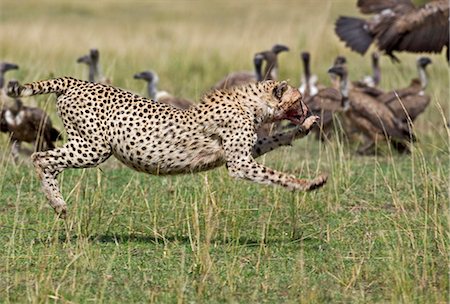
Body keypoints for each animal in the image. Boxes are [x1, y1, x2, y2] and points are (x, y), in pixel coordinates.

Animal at [7, 77, 326, 217]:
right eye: (298, 99)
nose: (308, 108)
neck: (250, 104)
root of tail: (75, 81)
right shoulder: (239, 164)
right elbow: (278, 176)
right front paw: (309, 184)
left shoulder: (242, 154)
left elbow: (276, 139)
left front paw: (305, 127)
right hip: (94, 148)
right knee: (39, 157)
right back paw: (58, 203)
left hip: (84, 144)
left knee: (48, 161)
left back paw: (58, 204)